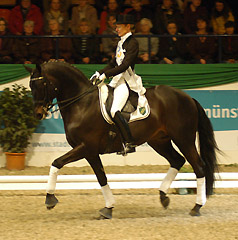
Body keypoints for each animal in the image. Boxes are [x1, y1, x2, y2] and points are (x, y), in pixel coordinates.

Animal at [25, 61, 218, 218]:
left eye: (42, 84)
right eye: (30, 86)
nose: (38, 114)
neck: (82, 103)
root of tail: (188, 97)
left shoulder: (86, 147)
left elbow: (57, 162)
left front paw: (50, 199)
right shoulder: (90, 152)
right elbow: (101, 178)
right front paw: (108, 208)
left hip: (183, 139)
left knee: (198, 166)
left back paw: (196, 206)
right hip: (159, 141)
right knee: (177, 160)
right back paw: (163, 196)